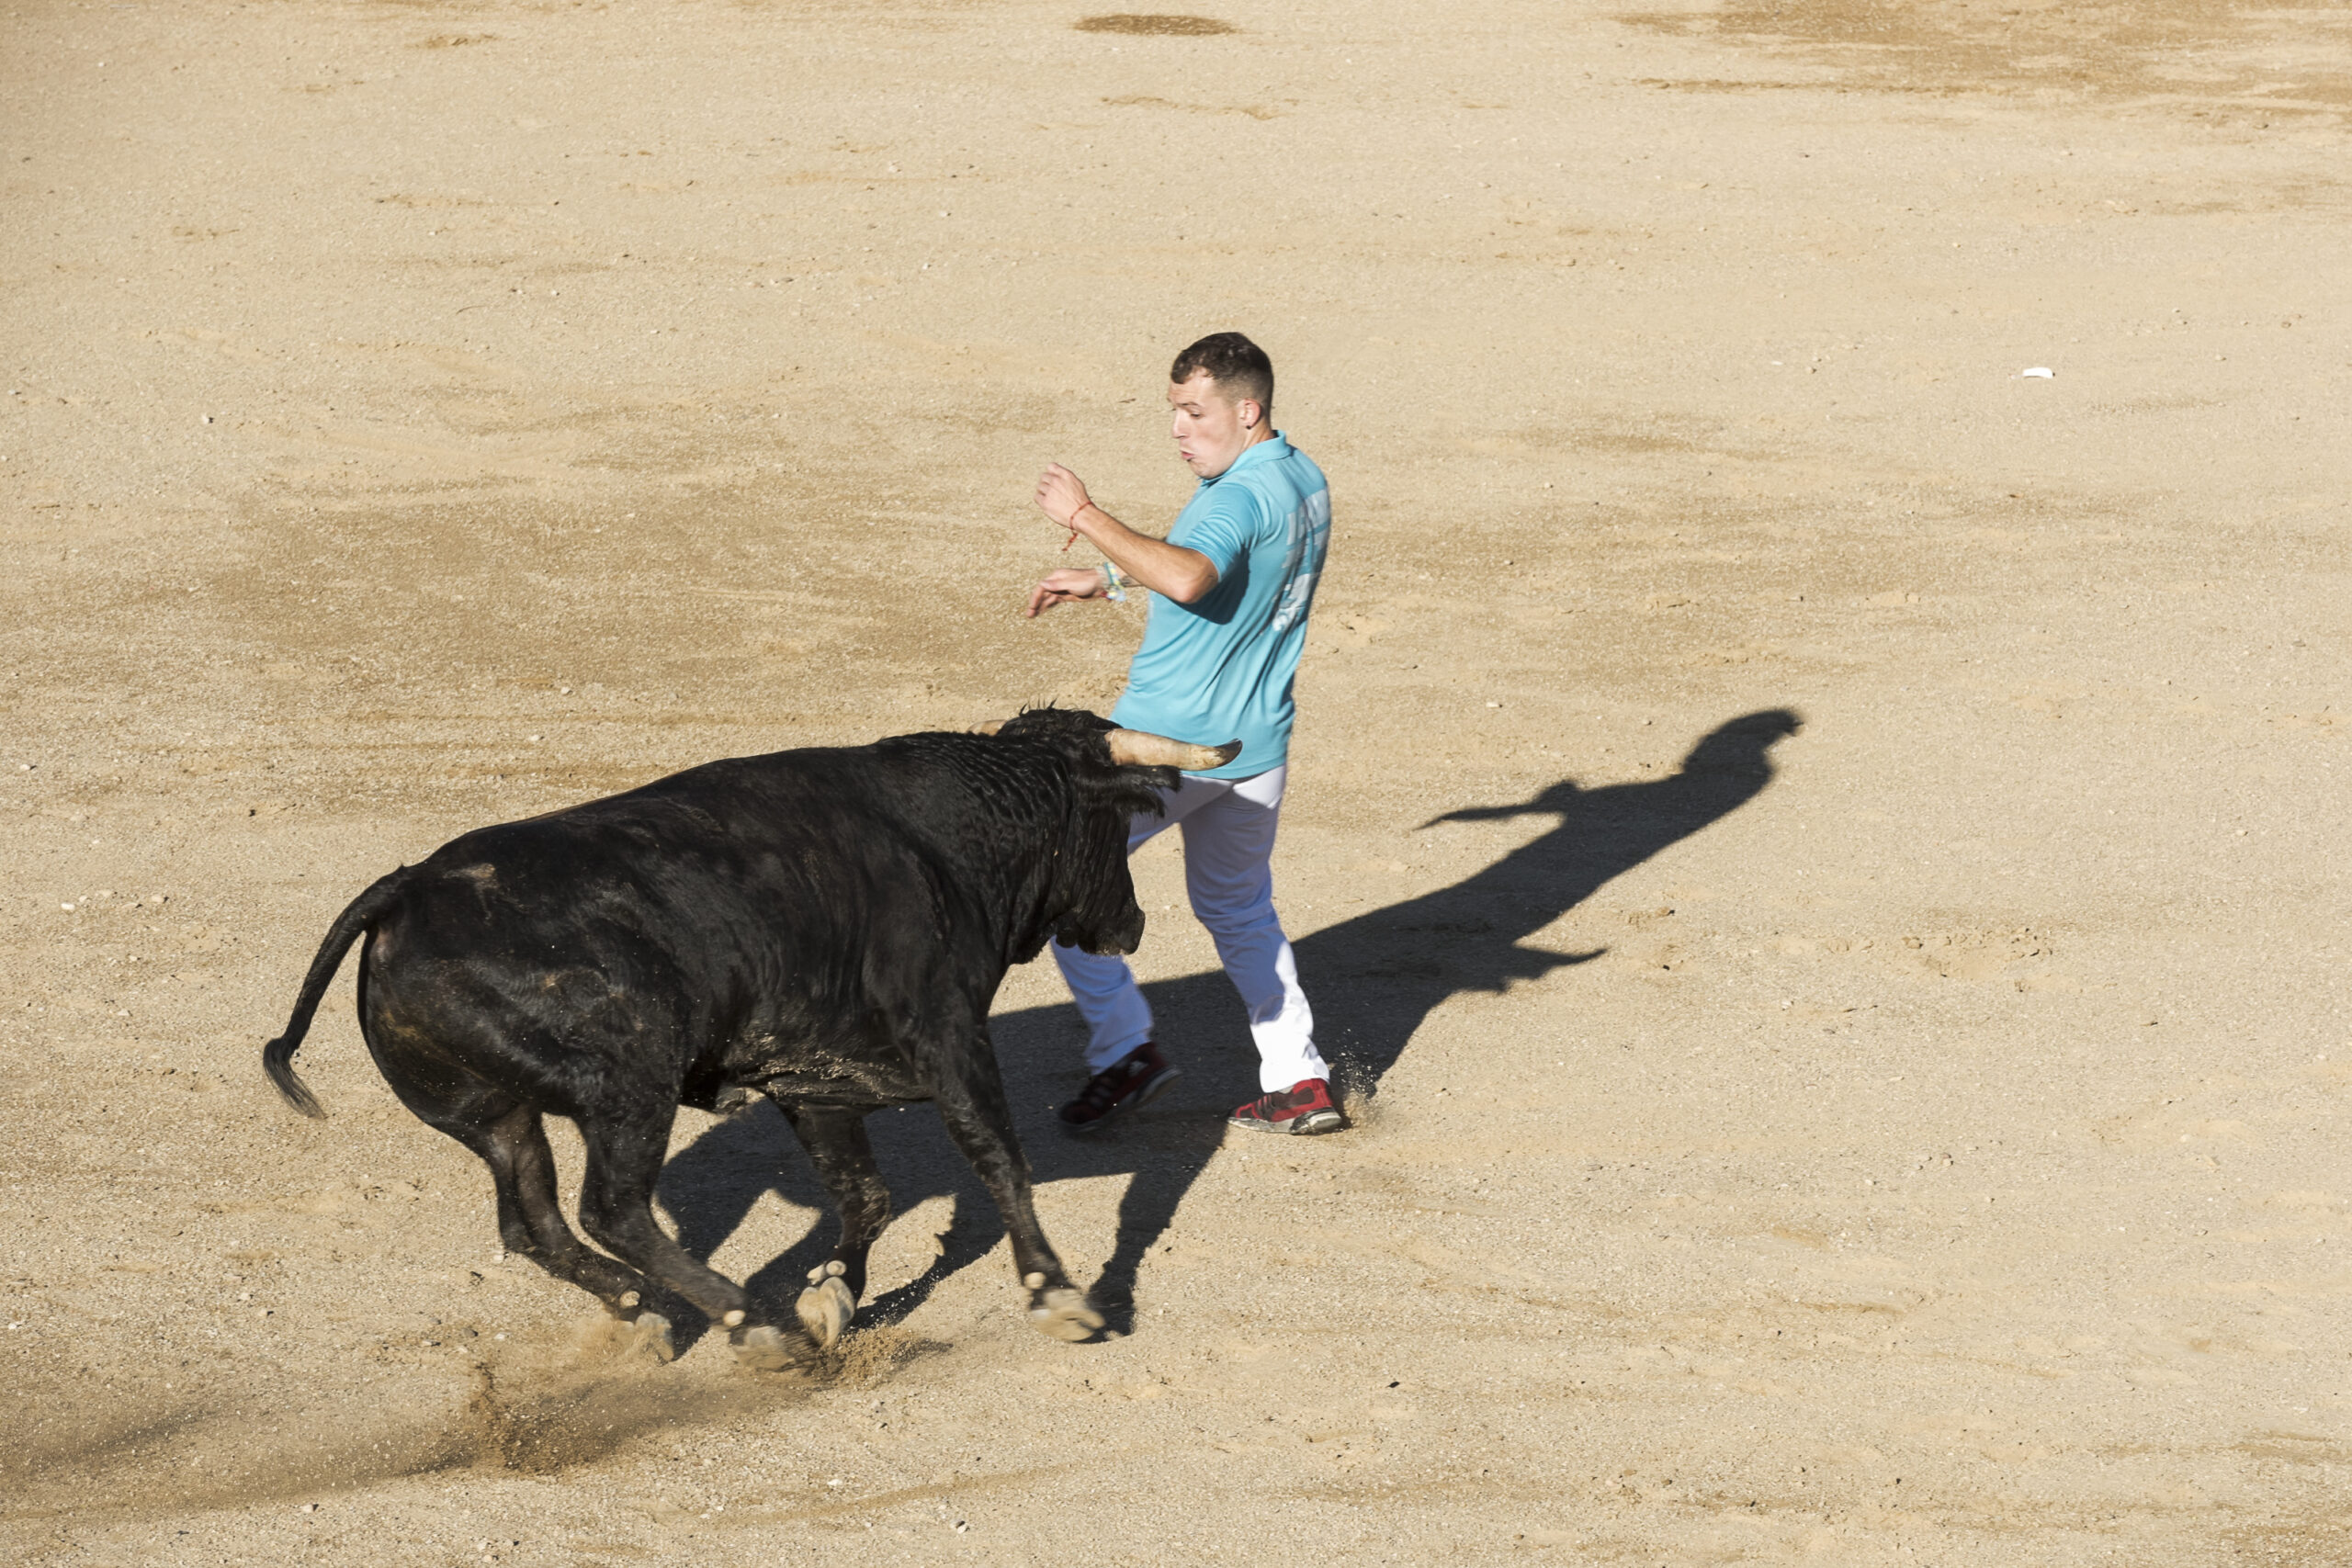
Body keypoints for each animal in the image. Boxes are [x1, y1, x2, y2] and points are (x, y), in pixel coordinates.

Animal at [262, 705, 1232, 1363]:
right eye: (1116, 820)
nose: (1134, 922)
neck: (951, 838)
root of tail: (405, 889)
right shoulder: (951, 1037)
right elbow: (997, 1155)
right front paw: (1058, 1293)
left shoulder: (814, 1081)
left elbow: (866, 1195)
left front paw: (831, 1296)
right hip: (628, 1086)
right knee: (609, 1208)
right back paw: (748, 1325)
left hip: (491, 1114)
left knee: (533, 1220)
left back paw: (651, 1314)